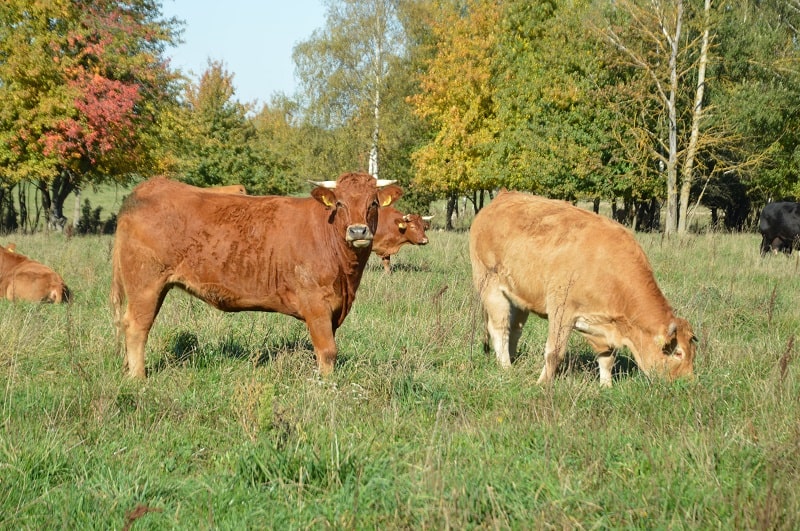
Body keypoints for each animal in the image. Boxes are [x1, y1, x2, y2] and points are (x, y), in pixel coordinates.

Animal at [109, 171, 404, 378]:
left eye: (373, 203)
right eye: (340, 203)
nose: (358, 231)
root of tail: (148, 187)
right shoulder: (316, 304)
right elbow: (328, 351)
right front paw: (328, 386)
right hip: (145, 284)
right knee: (137, 327)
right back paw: (138, 378)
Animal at [468, 191, 692, 386]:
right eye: (678, 352)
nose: (686, 383)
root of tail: (504, 195)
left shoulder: (603, 328)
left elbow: (607, 358)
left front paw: (606, 386)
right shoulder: (561, 311)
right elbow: (554, 352)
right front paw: (542, 383)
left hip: (519, 297)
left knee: (515, 329)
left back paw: (513, 359)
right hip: (490, 287)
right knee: (500, 328)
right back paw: (506, 367)